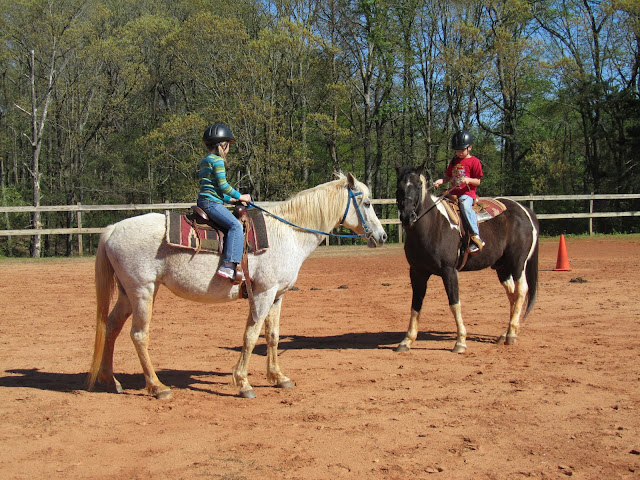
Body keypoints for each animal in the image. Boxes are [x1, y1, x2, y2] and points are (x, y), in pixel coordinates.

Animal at [88, 173, 387, 399]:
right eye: (367, 203)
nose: (382, 236)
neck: (287, 234)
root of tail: (112, 229)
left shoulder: (277, 295)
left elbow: (273, 336)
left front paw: (278, 377)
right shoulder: (263, 293)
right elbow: (251, 336)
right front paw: (243, 383)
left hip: (127, 294)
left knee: (111, 327)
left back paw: (110, 381)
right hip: (143, 291)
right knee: (139, 335)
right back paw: (157, 387)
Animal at [394, 164, 539, 353]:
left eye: (418, 186)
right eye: (399, 187)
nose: (407, 216)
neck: (432, 225)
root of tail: (524, 210)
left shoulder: (449, 271)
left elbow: (454, 303)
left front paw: (460, 341)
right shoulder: (417, 272)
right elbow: (416, 304)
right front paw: (406, 340)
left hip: (518, 263)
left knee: (521, 291)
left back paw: (511, 335)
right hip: (502, 267)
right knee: (513, 294)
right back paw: (506, 333)